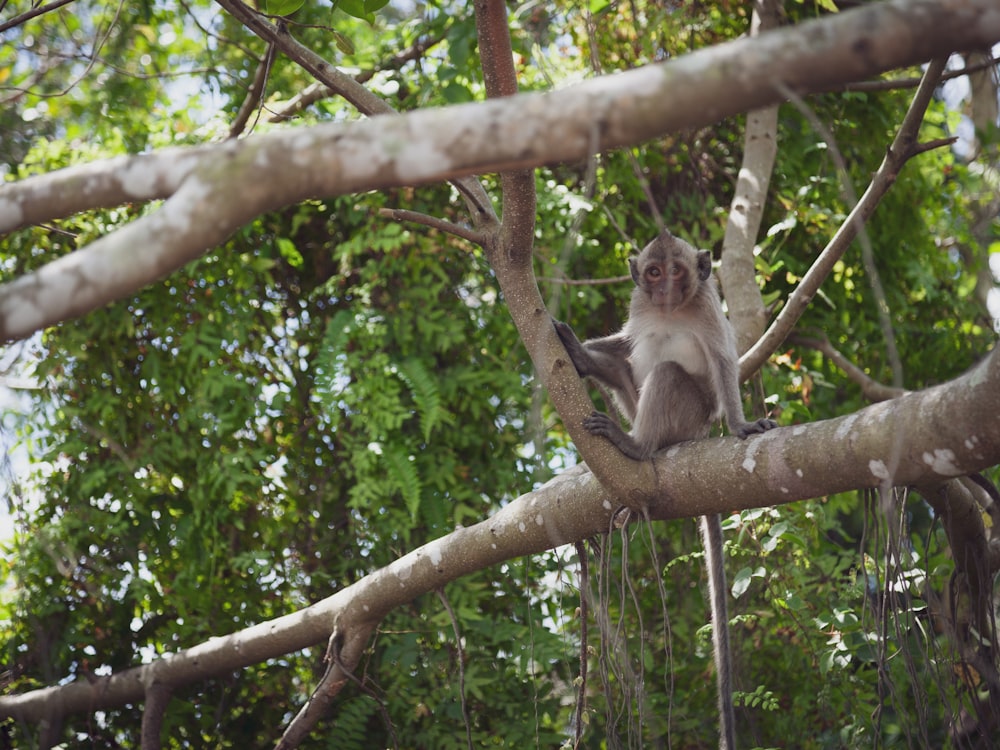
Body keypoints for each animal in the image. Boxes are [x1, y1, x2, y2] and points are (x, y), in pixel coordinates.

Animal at [552, 231, 776, 750]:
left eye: (677, 271)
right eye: (654, 272)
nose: (666, 288)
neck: (673, 312)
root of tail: (698, 435)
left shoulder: (709, 308)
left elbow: (723, 362)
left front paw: (742, 425)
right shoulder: (639, 305)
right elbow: (625, 341)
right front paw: (579, 348)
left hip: (688, 416)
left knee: (669, 373)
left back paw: (635, 445)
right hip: (637, 404)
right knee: (626, 367)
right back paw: (589, 370)